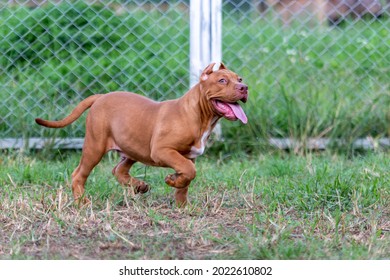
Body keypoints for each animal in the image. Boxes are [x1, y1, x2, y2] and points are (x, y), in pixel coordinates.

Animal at [35, 63, 247, 206]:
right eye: (222, 80)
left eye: (240, 79)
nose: (244, 88)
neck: (200, 115)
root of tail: (101, 97)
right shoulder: (162, 151)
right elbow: (189, 171)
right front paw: (172, 182)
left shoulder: (189, 156)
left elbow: (187, 178)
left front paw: (182, 205)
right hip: (95, 146)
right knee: (79, 174)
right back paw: (82, 201)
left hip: (133, 146)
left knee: (118, 170)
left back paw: (138, 186)